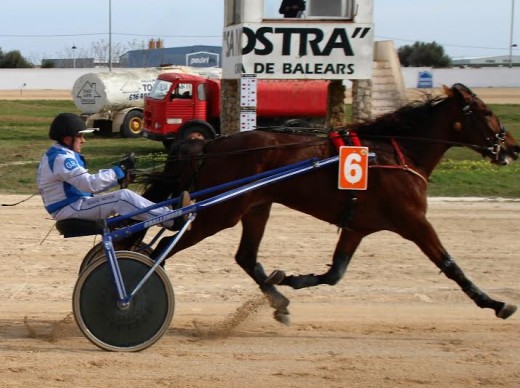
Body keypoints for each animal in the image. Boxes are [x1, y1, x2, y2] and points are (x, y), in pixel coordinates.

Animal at [138, 84, 516, 324]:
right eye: (486, 112)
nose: (512, 147)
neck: (396, 152)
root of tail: (213, 144)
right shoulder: (413, 221)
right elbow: (451, 265)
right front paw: (495, 303)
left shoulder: (358, 226)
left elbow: (335, 273)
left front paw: (290, 279)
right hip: (221, 213)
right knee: (161, 249)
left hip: (256, 206)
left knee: (244, 256)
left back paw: (279, 300)